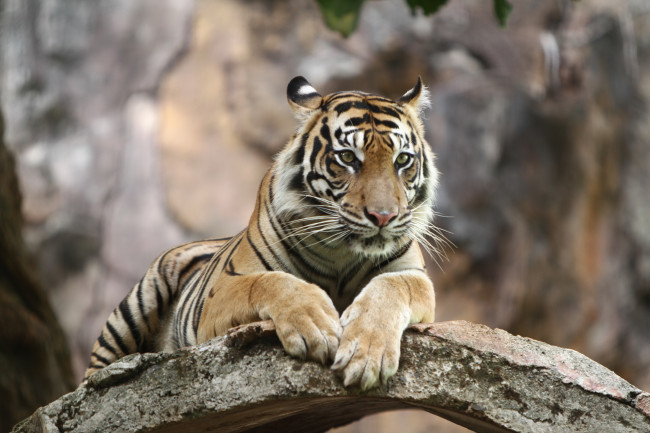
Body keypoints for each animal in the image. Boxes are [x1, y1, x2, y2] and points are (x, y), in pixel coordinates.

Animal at [84, 76, 440, 391]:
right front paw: (315, 326)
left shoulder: (414, 275)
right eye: (348, 157)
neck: (341, 252)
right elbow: (271, 282)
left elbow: (391, 288)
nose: (383, 216)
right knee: (93, 377)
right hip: (139, 299)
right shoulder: (223, 287)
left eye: (402, 160)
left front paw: (367, 355)